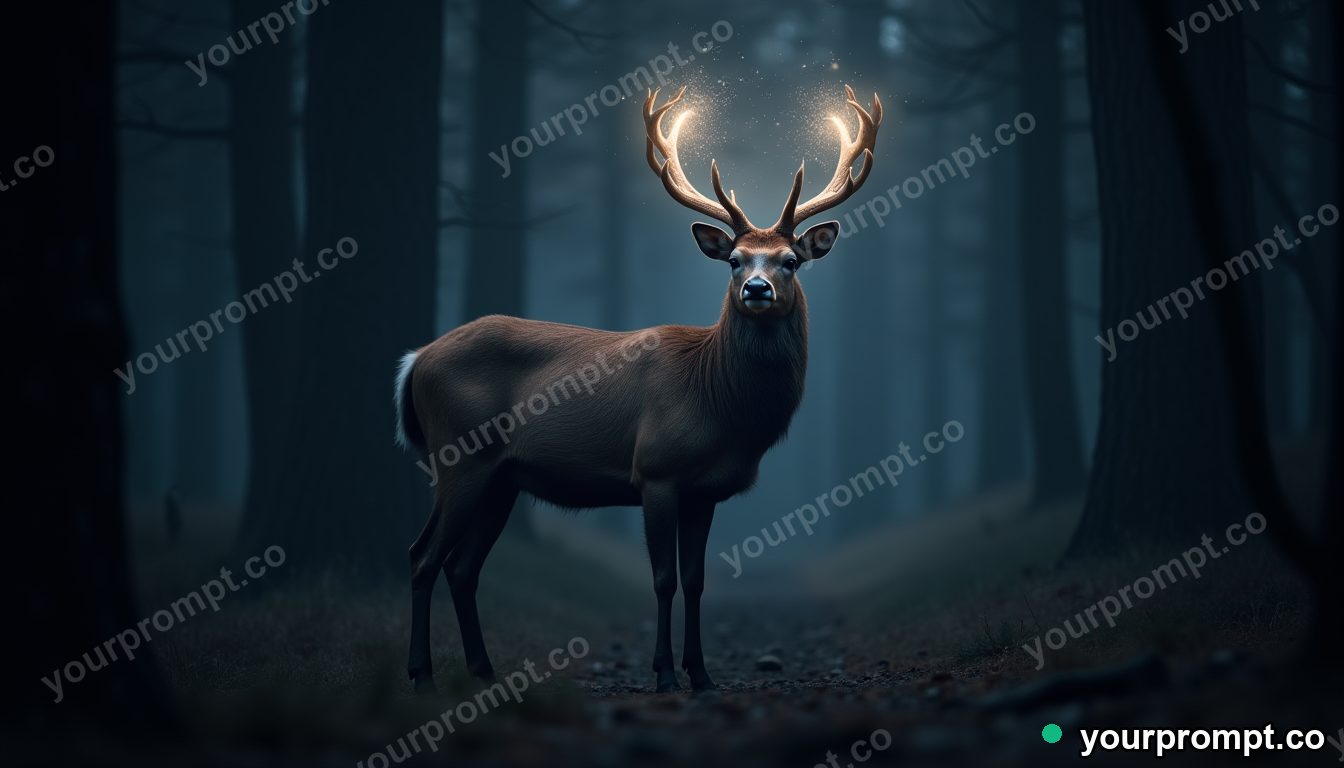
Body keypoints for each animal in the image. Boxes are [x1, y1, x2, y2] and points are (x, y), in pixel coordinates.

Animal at [395, 85, 881, 694]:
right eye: (734, 259)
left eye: (791, 260)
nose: (757, 288)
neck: (718, 403)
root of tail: (416, 360)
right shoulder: (655, 470)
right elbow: (664, 579)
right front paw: (665, 673)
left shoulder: (704, 491)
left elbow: (697, 580)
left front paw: (701, 674)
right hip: (459, 457)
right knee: (422, 556)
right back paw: (422, 675)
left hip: (502, 479)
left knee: (462, 568)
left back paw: (482, 671)